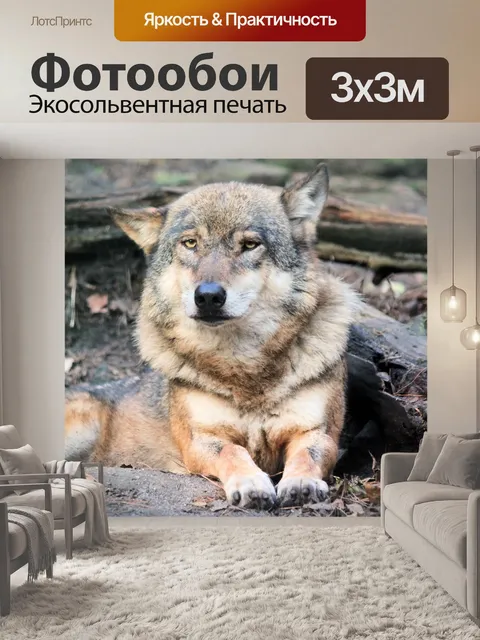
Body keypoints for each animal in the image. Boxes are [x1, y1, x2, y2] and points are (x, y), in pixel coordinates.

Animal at [65, 164, 359, 509]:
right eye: (191, 243)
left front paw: (301, 483)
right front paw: (251, 483)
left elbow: (307, 455)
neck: (243, 365)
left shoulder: (318, 432)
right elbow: (233, 451)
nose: (207, 296)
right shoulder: (201, 439)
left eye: (250, 245)